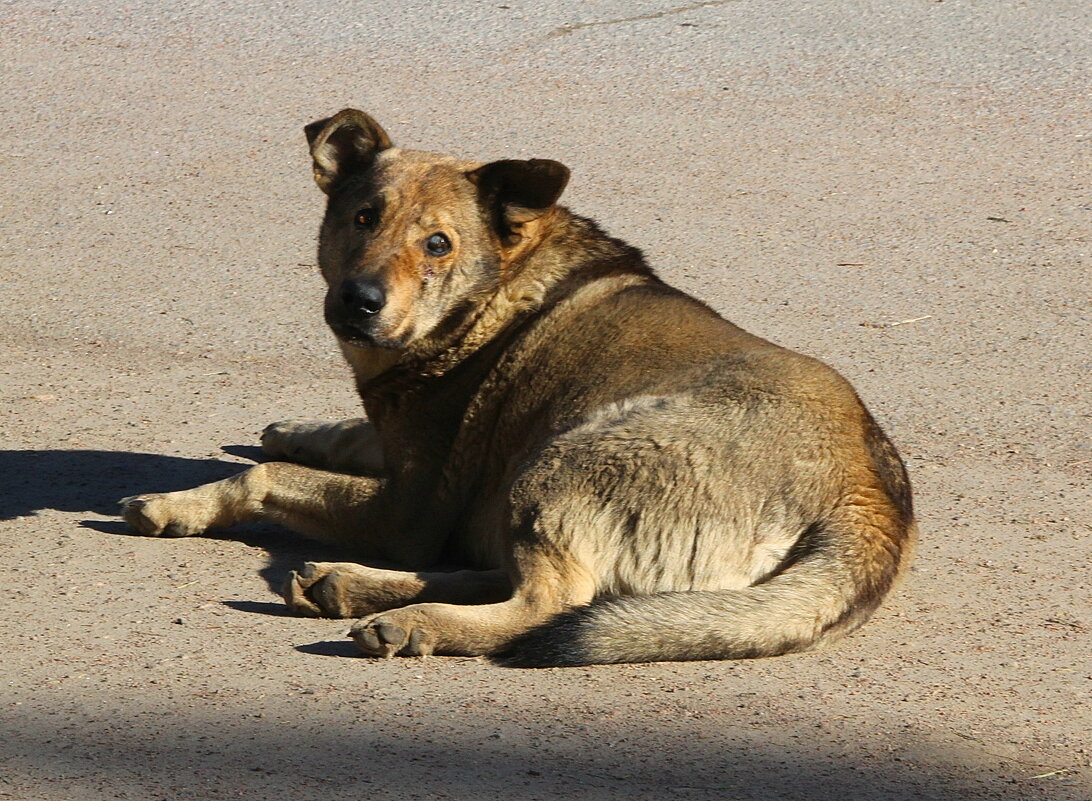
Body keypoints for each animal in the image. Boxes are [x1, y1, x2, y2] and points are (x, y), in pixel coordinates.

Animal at [119, 109, 917, 667]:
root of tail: (871, 499)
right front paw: (294, 429)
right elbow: (339, 435)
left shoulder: (405, 513)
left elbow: (262, 477)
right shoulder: (409, 462)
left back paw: (408, 620)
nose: (359, 301)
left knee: (542, 603)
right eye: (363, 218)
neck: (495, 292)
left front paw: (178, 502)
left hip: (559, 465)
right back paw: (349, 586)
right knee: (506, 577)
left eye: (437, 244)